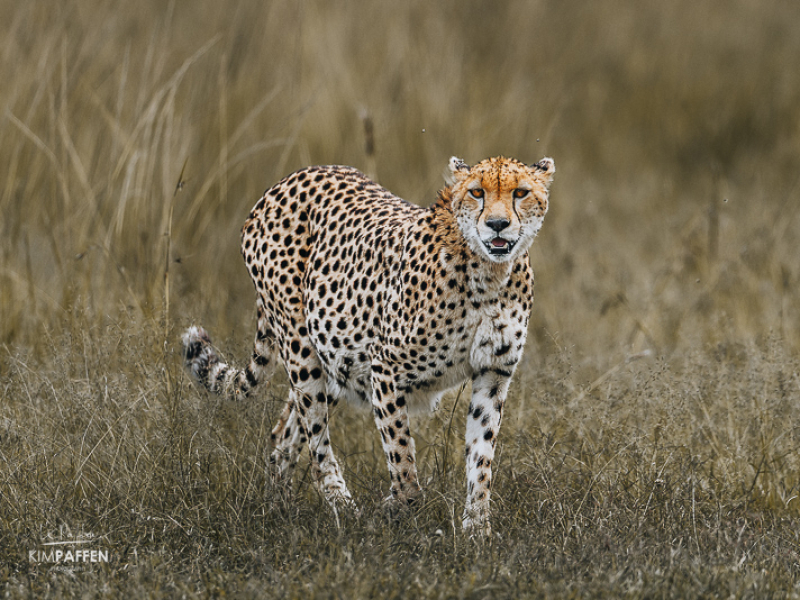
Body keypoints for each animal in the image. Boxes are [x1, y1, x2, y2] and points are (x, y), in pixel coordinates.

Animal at [182, 155, 554, 534]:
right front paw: (395, 509)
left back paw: (278, 510)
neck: (489, 274)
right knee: (316, 442)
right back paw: (344, 509)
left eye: (521, 193)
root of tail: (291, 178)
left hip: (334, 358)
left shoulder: (493, 374)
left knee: (284, 434)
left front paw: (477, 530)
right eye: (477, 192)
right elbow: (402, 458)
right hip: (303, 352)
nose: (497, 225)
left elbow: (481, 459)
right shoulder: (385, 368)